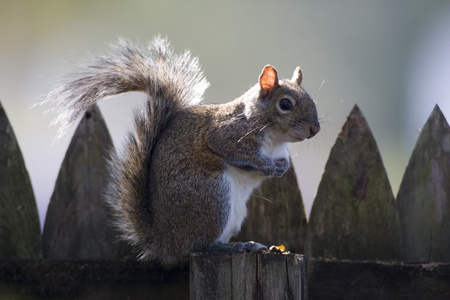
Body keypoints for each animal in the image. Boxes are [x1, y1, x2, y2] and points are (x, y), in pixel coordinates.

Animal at [44, 36, 320, 268]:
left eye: (312, 100)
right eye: (285, 104)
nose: (315, 129)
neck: (273, 137)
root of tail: (164, 242)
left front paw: (282, 166)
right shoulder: (228, 135)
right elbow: (239, 154)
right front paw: (270, 167)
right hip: (211, 196)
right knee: (198, 247)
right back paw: (234, 246)